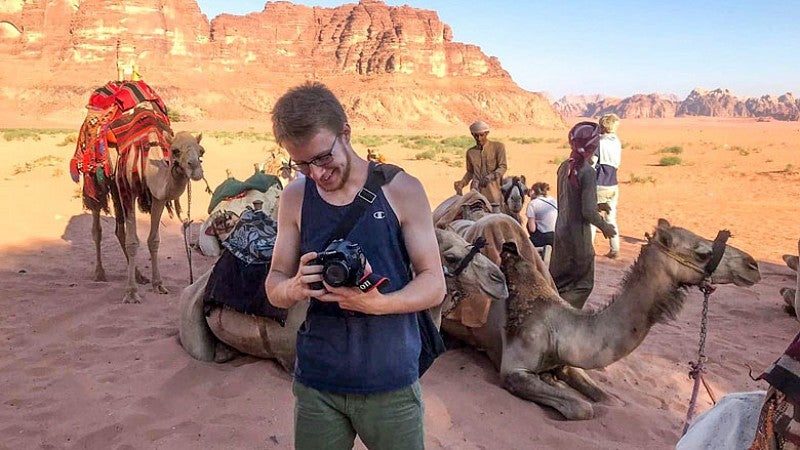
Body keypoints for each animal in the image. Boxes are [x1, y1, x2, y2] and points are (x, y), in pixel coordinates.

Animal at [434, 213, 760, 420]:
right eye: (702, 253)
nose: (753, 265)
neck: (559, 325)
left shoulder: (566, 361)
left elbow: (607, 399)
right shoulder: (514, 370)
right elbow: (582, 408)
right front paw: (556, 387)